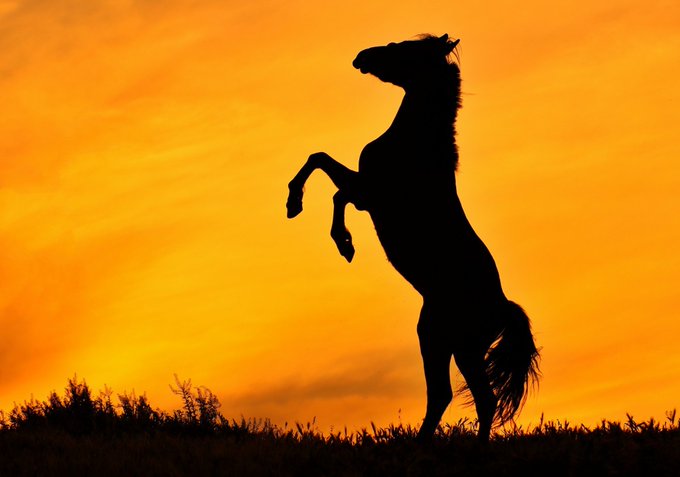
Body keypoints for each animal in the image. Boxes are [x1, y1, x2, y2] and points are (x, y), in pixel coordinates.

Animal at [286, 34, 540, 442]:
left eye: (403, 49)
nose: (361, 57)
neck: (416, 143)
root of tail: (503, 308)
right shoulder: (365, 193)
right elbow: (328, 174)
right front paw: (339, 239)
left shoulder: (369, 193)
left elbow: (325, 171)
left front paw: (319, 223)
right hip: (437, 338)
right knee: (448, 395)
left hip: (456, 345)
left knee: (472, 397)